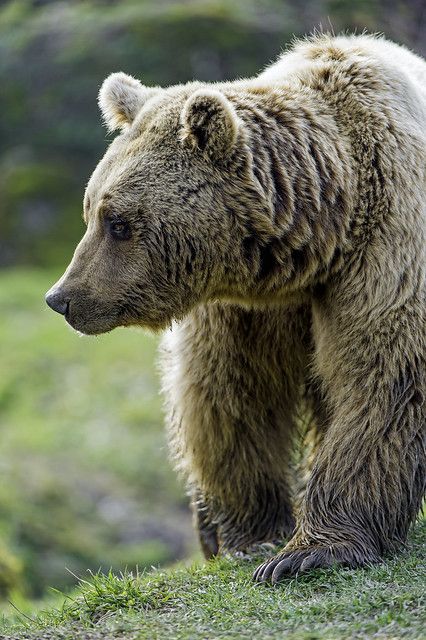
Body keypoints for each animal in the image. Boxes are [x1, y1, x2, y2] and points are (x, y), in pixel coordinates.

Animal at [45, 36, 424, 584]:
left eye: (118, 223)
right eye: (91, 210)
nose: (62, 298)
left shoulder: (389, 254)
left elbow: (384, 377)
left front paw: (309, 551)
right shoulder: (244, 309)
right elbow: (232, 394)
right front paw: (252, 534)